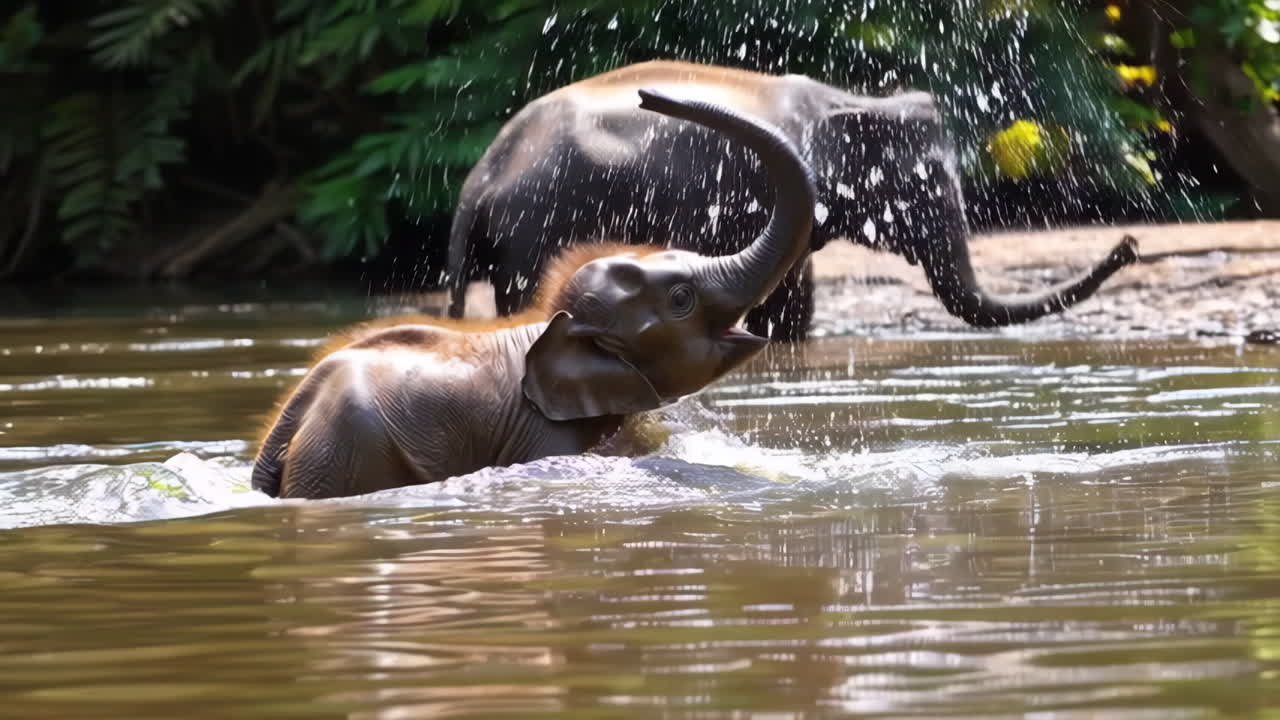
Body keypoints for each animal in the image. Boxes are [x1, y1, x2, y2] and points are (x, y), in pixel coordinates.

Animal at [252, 89, 815, 499]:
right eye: (681, 300)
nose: (647, 95)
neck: (550, 321)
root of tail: (287, 424)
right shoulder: (543, 432)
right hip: (347, 456)